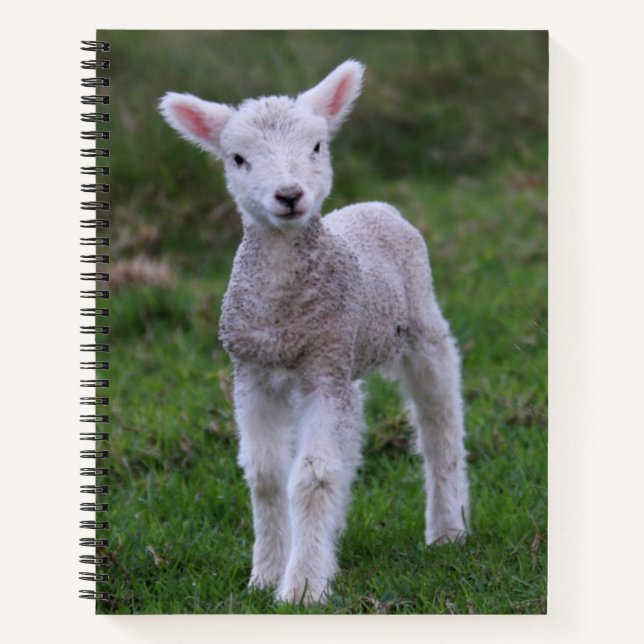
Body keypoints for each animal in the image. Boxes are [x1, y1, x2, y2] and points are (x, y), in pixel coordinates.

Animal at [159, 60, 470, 605]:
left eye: (318, 146)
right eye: (238, 158)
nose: (289, 195)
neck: (283, 310)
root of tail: (376, 206)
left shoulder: (323, 370)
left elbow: (312, 476)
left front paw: (302, 587)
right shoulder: (254, 373)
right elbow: (266, 476)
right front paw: (265, 575)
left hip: (420, 326)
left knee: (439, 424)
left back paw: (447, 529)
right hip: (347, 357)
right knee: (353, 437)